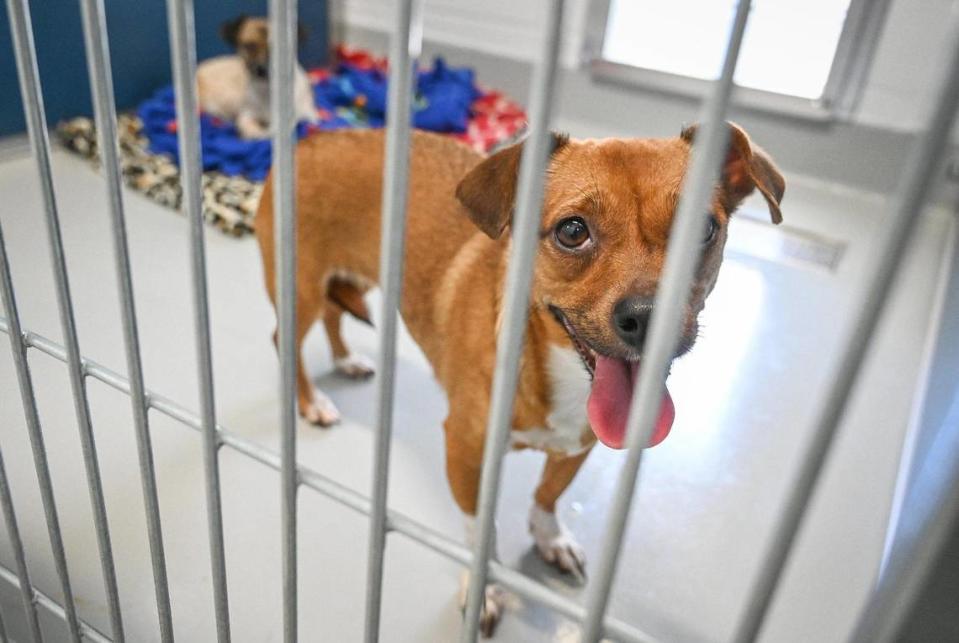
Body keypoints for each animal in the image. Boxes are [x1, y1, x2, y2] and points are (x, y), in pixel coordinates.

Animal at [251, 123, 784, 636]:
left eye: (704, 230)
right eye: (572, 231)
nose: (650, 316)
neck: (555, 367)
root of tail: (309, 140)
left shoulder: (578, 445)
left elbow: (548, 494)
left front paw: (550, 538)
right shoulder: (465, 451)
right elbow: (477, 533)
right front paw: (484, 589)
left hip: (353, 277)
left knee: (335, 315)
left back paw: (346, 360)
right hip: (300, 291)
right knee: (284, 338)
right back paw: (311, 401)